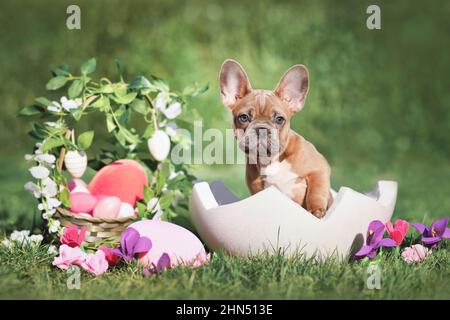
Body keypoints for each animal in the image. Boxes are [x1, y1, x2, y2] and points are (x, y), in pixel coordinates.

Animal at [220, 58, 332, 218]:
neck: (271, 160)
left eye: (279, 119)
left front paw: (316, 211)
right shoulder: (257, 187)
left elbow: (317, 190)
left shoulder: (319, 168)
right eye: (243, 117)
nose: (261, 128)